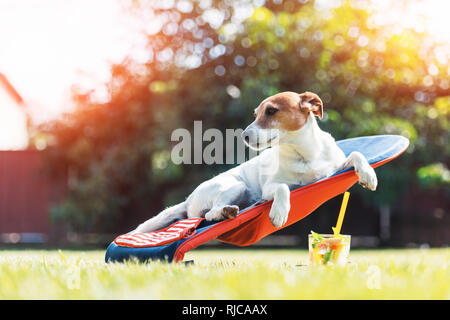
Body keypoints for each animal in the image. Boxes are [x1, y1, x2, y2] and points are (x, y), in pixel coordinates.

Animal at [135, 92, 378, 232]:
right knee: (209, 213)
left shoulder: (333, 168)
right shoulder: (270, 187)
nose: (243, 135)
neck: (304, 154)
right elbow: (282, 188)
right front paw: (279, 212)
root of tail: (188, 200)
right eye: (256, 114)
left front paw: (368, 174)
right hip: (235, 185)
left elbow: (357, 154)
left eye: (271, 111)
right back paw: (225, 211)